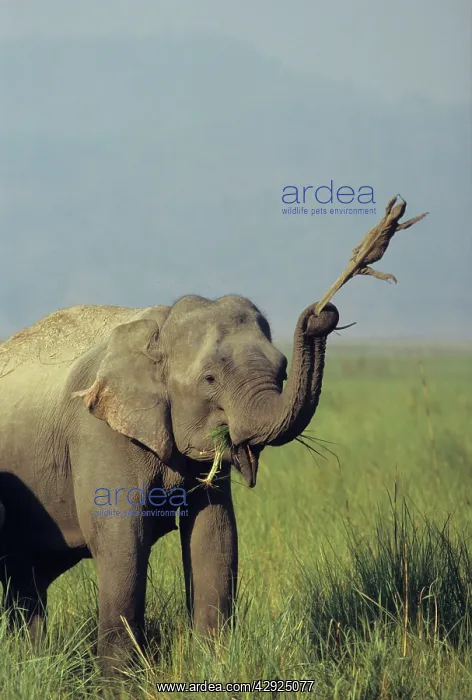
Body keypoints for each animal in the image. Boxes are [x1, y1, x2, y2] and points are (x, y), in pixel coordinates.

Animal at [0, 294, 339, 672]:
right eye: (209, 378)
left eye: (282, 370)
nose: (321, 314)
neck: (159, 329)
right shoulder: (99, 432)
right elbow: (122, 539)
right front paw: (119, 682)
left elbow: (214, 533)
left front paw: (213, 669)